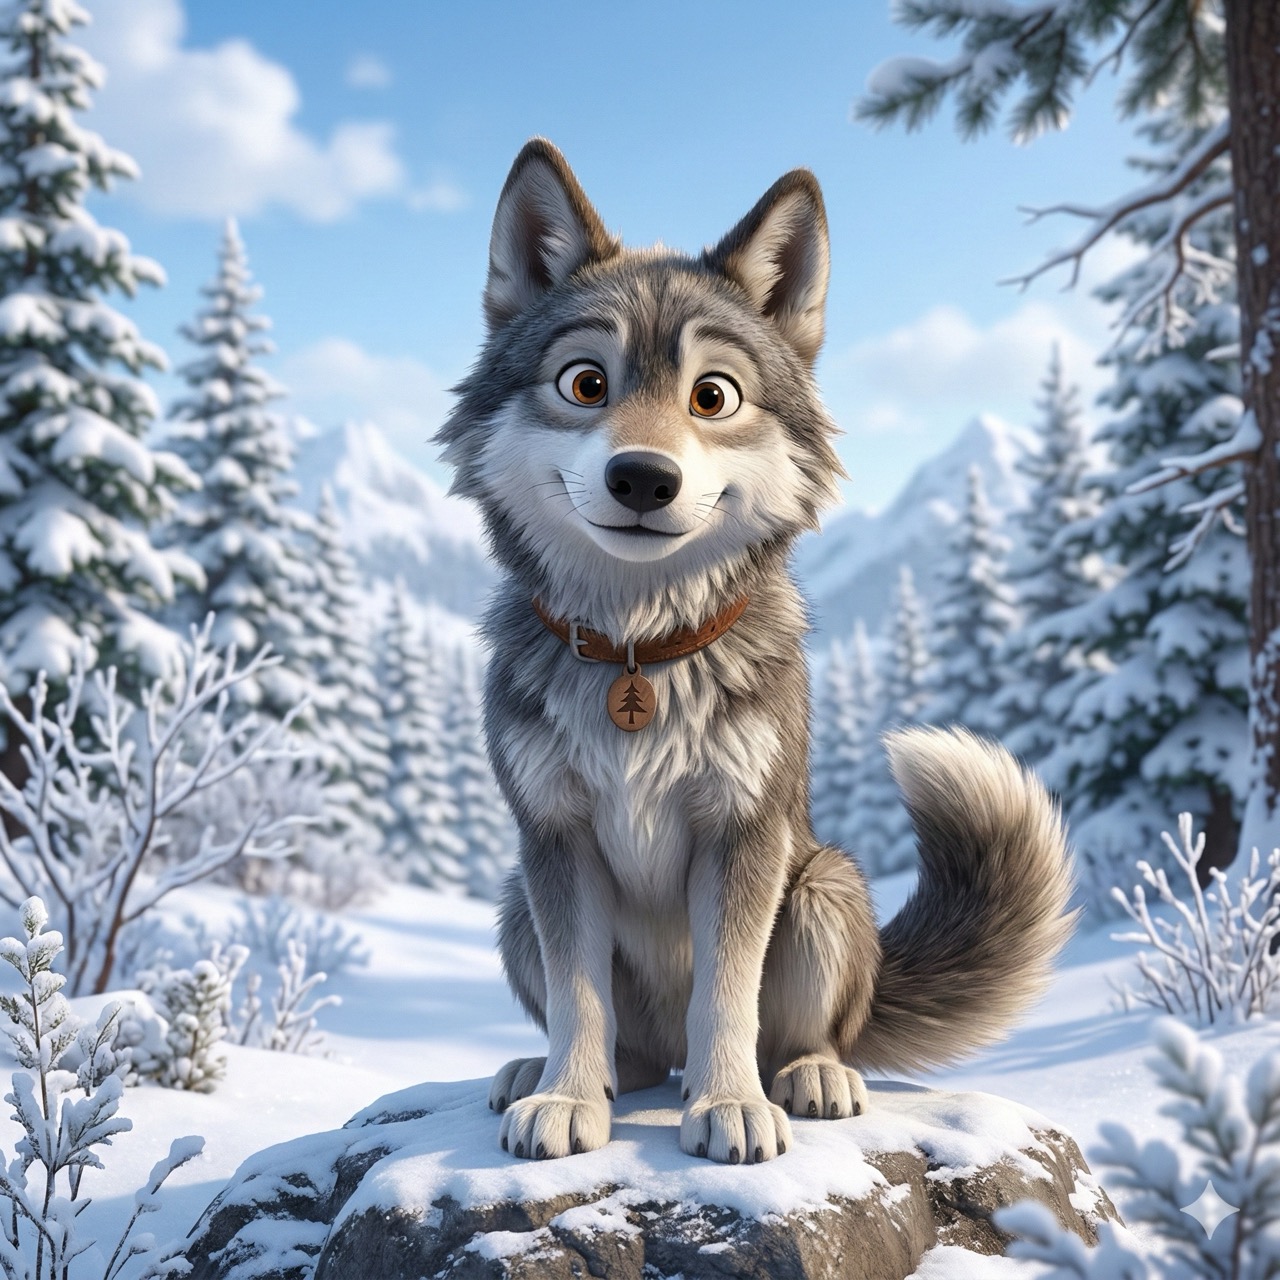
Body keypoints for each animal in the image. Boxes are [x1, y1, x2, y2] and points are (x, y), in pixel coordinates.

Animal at [436, 138, 1075, 1166]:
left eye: (713, 396)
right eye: (585, 383)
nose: (643, 478)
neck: (642, 653)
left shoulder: (743, 836)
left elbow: (728, 992)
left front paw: (730, 1103)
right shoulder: (554, 838)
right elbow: (579, 997)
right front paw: (568, 1099)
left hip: (820, 886)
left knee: (798, 1033)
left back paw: (807, 1076)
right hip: (512, 903)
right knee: (627, 1049)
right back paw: (550, 1073)